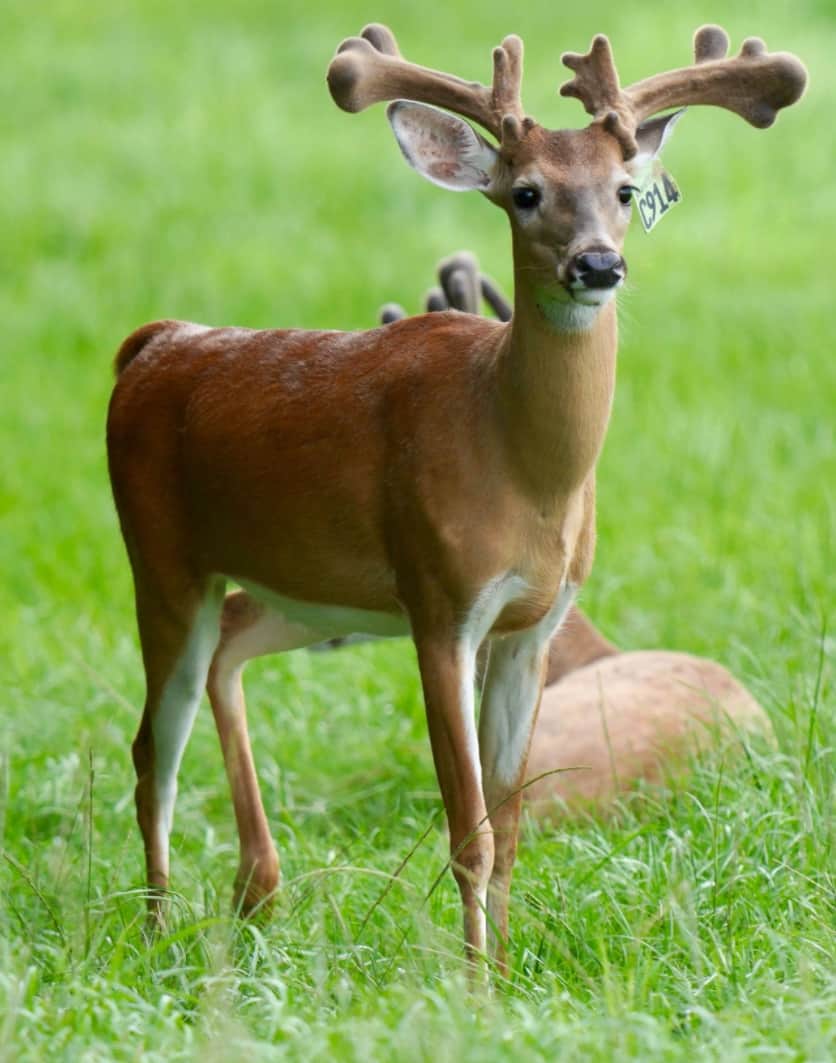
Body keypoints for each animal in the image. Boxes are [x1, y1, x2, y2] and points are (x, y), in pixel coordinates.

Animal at [106, 22, 806, 975]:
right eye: (525, 192)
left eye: (625, 190)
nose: (598, 263)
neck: (522, 468)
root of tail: (151, 344)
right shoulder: (443, 602)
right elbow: (468, 828)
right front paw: (472, 983)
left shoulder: (532, 624)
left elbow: (506, 829)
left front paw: (508, 970)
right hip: (162, 556)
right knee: (153, 745)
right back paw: (158, 932)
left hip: (318, 591)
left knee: (229, 650)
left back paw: (258, 892)